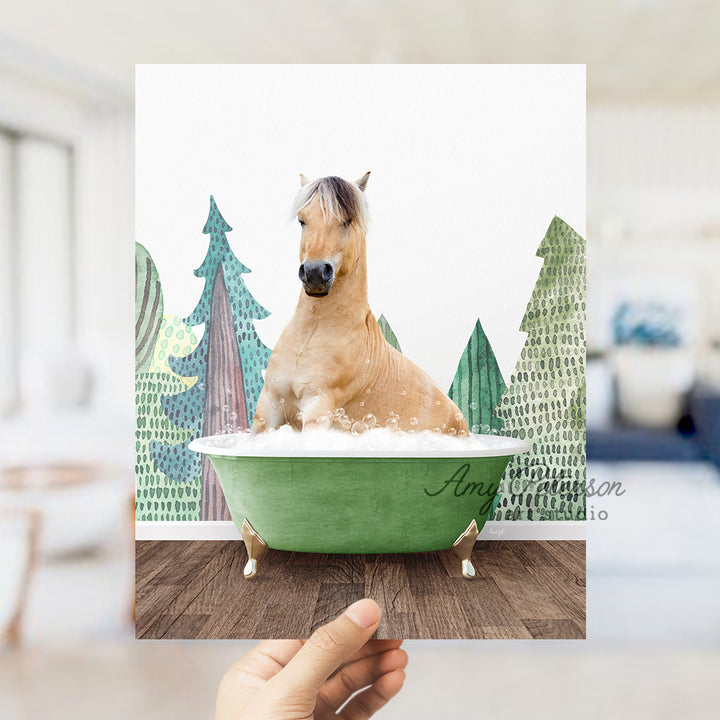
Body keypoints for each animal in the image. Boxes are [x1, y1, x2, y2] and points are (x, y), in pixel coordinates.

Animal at [250, 173, 470, 438]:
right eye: (303, 220)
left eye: (346, 221)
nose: (314, 273)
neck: (310, 336)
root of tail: (458, 417)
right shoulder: (269, 406)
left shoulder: (318, 407)